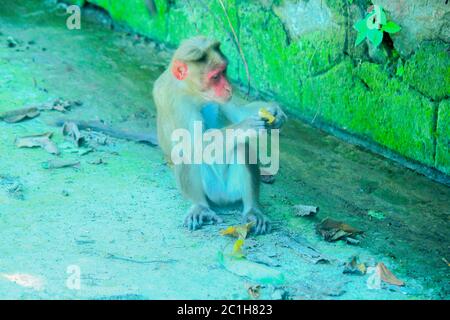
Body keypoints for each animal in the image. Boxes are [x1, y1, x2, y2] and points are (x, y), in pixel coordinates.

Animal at [153, 37, 286, 235]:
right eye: (215, 77)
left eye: (224, 72)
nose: (229, 87)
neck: (191, 92)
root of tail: (223, 198)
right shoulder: (177, 102)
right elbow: (193, 142)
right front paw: (245, 126)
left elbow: (239, 112)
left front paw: (275, 112)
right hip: (212, 189)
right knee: (186, 150)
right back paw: (200, 206)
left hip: (231, 189)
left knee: (241, 147)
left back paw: (252, 209)